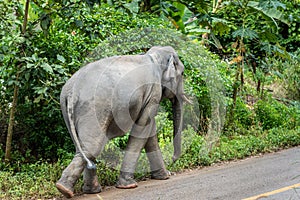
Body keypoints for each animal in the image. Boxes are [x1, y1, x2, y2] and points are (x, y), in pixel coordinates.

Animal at [55, 46, 190, 198]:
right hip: (95, 107)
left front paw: (164, 176)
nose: (173, 158)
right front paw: (129, 185)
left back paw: (85, 190)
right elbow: (143, 127)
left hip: (67, 110)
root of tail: (72, 91)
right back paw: (65, 189)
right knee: (93, 146)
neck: (153, 56)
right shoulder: (153, 92)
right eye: (182, 73)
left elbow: (149, 131)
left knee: (82, 148)